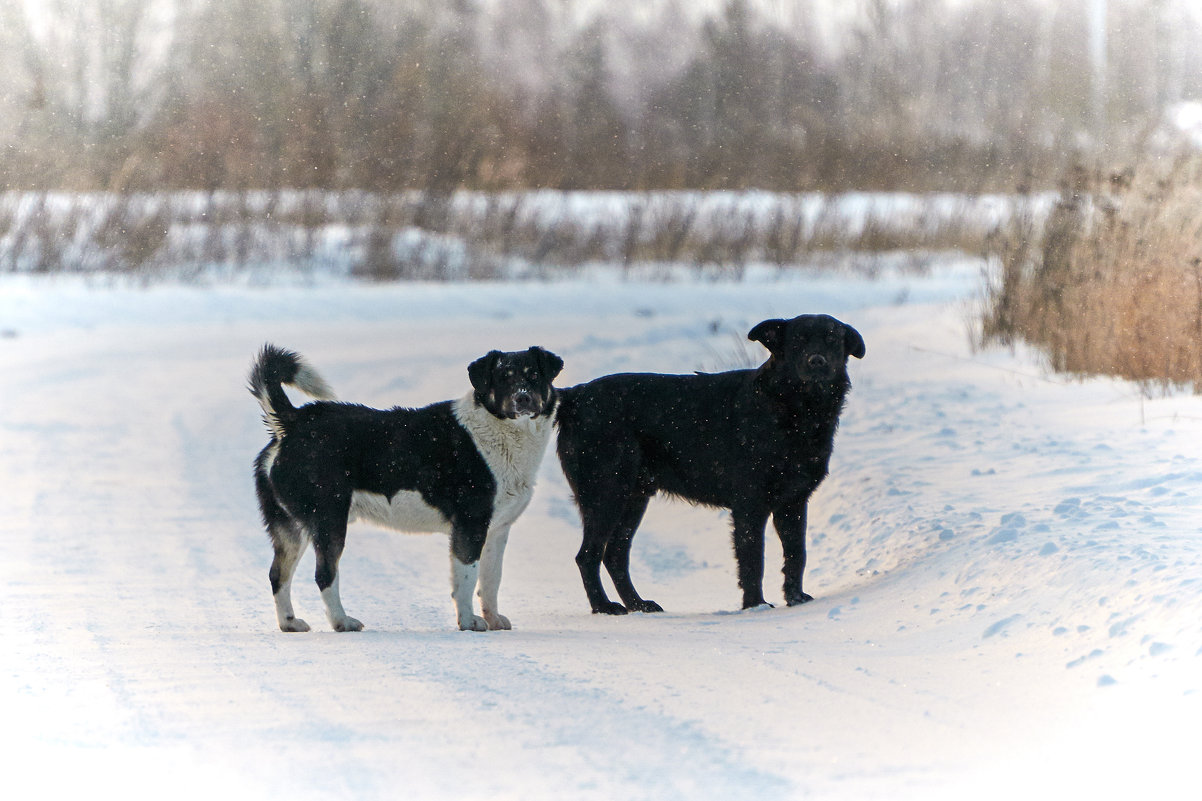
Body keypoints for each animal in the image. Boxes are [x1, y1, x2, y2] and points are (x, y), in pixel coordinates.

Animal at [247, 343, 562, 630]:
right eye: (503, 378)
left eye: (534, 375)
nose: (523, 398)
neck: (500, 431)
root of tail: (291, 423)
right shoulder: (470, 525)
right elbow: (467, 578)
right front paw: (469, 621)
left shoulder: (497, 530)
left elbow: (491, 580)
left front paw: (493, 619)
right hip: (329, 519)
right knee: (324, 575)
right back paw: (342, 621)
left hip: (291, 526)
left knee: (278, 575)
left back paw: (289, 623)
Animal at [555, 312, 865, 610]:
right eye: (798, 341)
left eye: (832, 339)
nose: (817, 361)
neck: (794, 410)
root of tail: (574, 396)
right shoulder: (750, 504)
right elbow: (753, 559)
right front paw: (755, 605)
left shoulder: (793, 503)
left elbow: (796, 554)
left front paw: (795, 598)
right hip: (606, 493)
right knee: (588, 556)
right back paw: (604, 606)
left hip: (633, 497)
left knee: (615, 555)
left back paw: (637, 604)